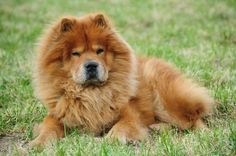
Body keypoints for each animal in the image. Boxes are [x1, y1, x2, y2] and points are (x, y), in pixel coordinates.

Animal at [30, 12, 215, 146]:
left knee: (192, 118)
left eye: (99, 51)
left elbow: (122, 126)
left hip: (169, 100)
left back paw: (202, 133)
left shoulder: (129, 114)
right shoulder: (58, 114)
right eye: (75, 53)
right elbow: (48, 128)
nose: (91, 65)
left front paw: (111, 140)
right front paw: (38, 143)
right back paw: (156, 128)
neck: (92, 94)